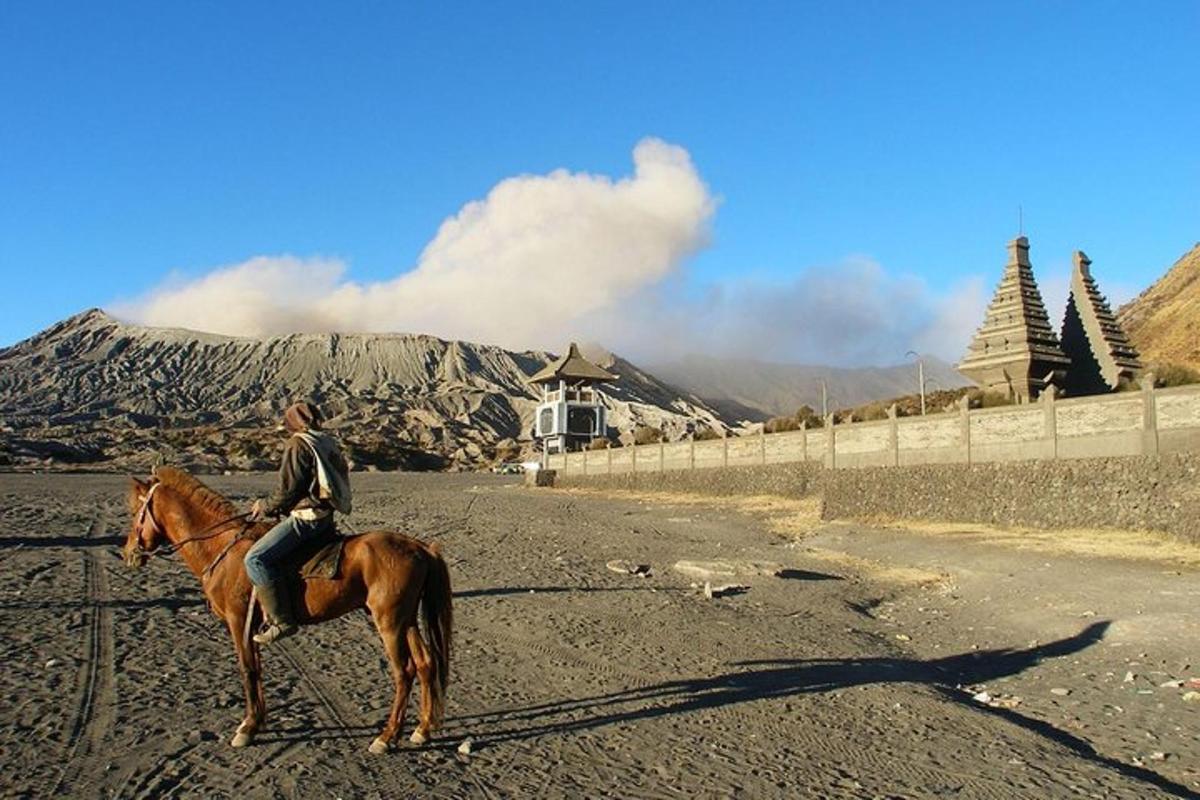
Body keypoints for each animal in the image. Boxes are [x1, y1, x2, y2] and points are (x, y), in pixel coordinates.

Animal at [121, 465, 451, 753]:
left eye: (135, 512)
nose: (128, 553)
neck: (223, 549)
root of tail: (420, 548)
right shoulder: (251, 626)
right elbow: (257, 669)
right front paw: (257, 722)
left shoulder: (238, 620)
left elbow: (247, 669)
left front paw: (247, 729)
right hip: (406, 620)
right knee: (425, 664)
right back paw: (422, 730)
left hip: (389, 622)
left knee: (404, 671)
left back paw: (386, 737)